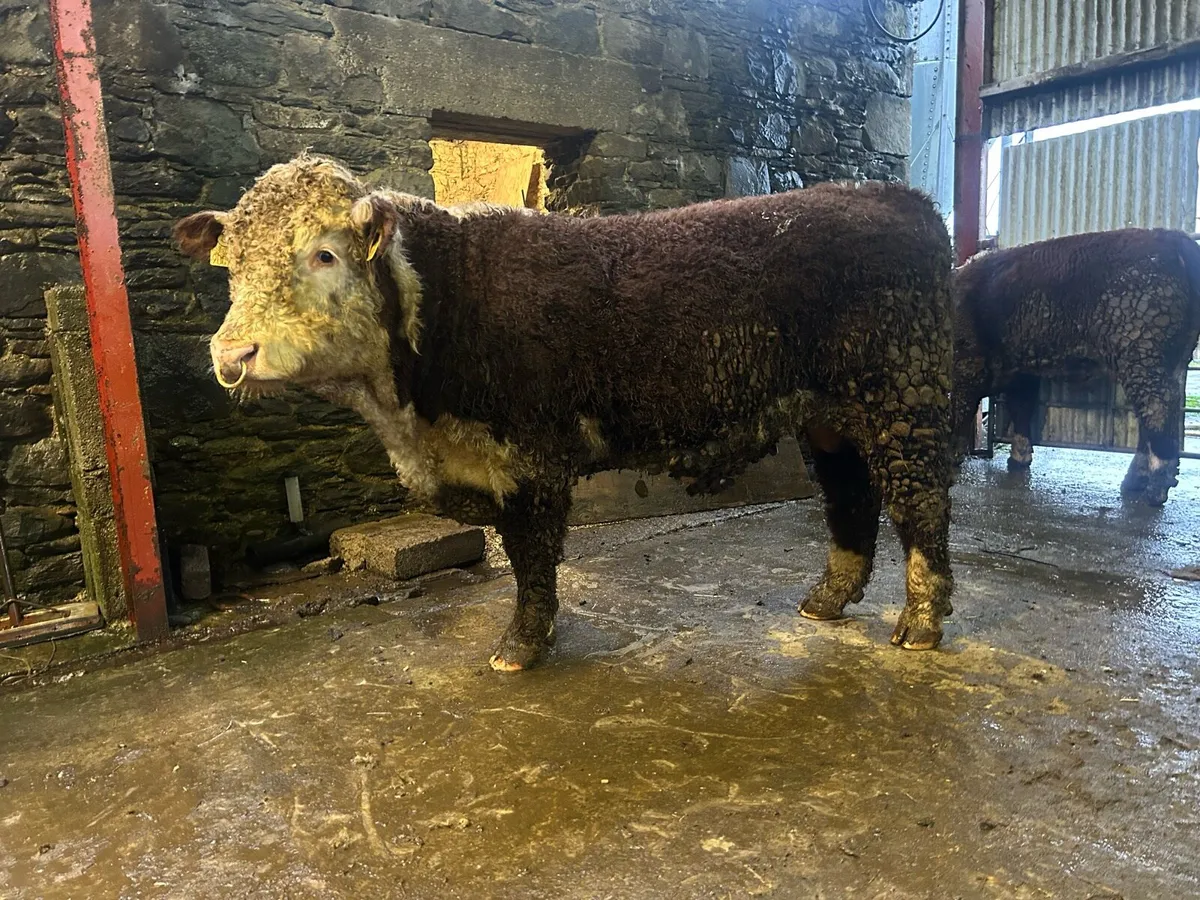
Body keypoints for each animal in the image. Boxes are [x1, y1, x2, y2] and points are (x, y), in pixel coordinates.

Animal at [174, 154, 957, 672]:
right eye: (232, 266)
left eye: (324, 255)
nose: (233, 353)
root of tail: (895, 195)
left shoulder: (529, 456)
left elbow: (531, 556)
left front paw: (520, 646)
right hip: (832, 414)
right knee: (851, 495)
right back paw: (825, 599)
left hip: (902, 395)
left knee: (918, 502)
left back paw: (919, 622)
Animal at [950, 229, 1200, 506]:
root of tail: (1172, 237)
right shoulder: (1022, 373)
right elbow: (1021, 408)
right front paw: (1019, 460)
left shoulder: (967, 366)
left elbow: (961, 410)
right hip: (1173, 361)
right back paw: (1135, 482)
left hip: (1143, 357)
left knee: (1157, 410)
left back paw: (1154, 491)